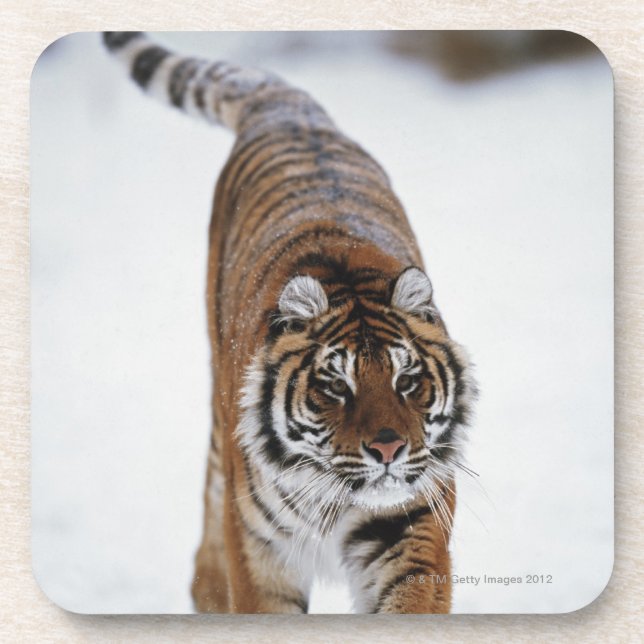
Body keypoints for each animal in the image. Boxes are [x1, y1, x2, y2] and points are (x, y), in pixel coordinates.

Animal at [103, 31, 476, 614]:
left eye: (407, 381)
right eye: (335, 386)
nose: (388, 451)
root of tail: (290, 110)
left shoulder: (412, 523)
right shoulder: (261, 553)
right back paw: (207, 594)